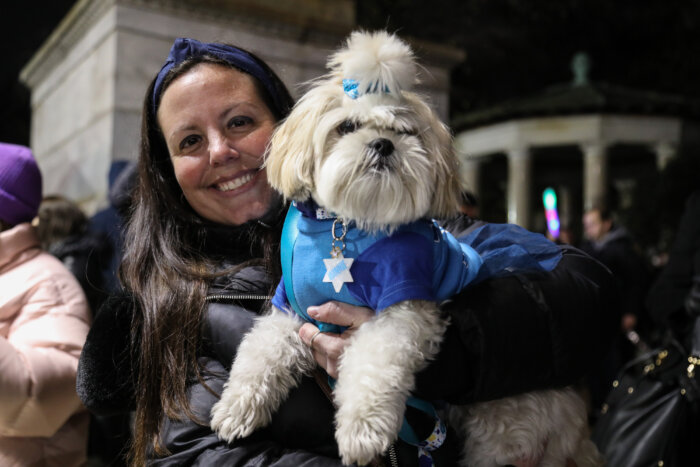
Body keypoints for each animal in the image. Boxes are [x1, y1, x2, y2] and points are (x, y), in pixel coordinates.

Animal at [209, 30, 600, 467]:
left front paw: (362, 429)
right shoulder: (292, 306)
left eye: (405, 131)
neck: (348, 225)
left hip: (505, 430)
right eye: (346, 126)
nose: (383, 144)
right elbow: (260, 350)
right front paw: (237, 405)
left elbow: (373, 366)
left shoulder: (402, 310)